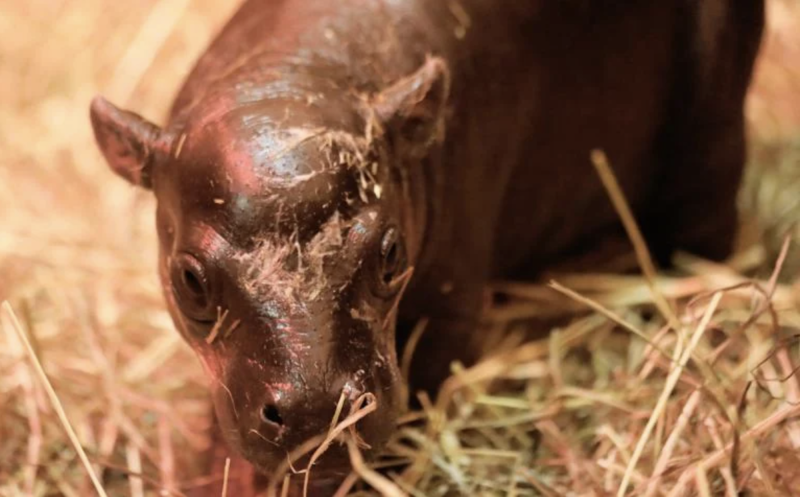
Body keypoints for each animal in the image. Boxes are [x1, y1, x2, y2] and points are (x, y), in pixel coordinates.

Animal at [87, 0, 764, 492]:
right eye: (190, 280)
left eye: (390, 254)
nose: (316, 411)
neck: (290, 73)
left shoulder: (450, 305)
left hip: (712, 146)